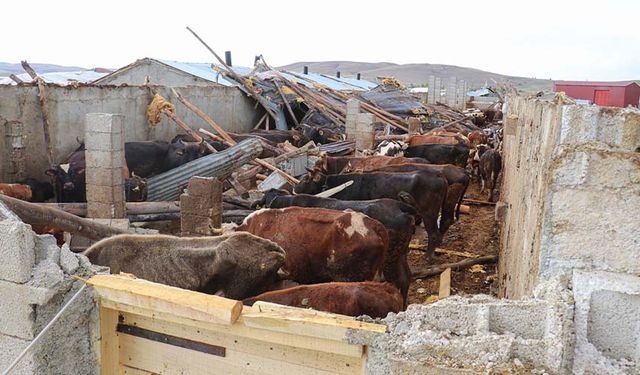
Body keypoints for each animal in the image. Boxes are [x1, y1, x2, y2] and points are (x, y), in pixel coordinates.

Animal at [294, 171, 448, 262]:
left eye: (306, 179)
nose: (294, 189)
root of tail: (439, 177)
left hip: (429, 213)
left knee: (434, 234)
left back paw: (427, 257)